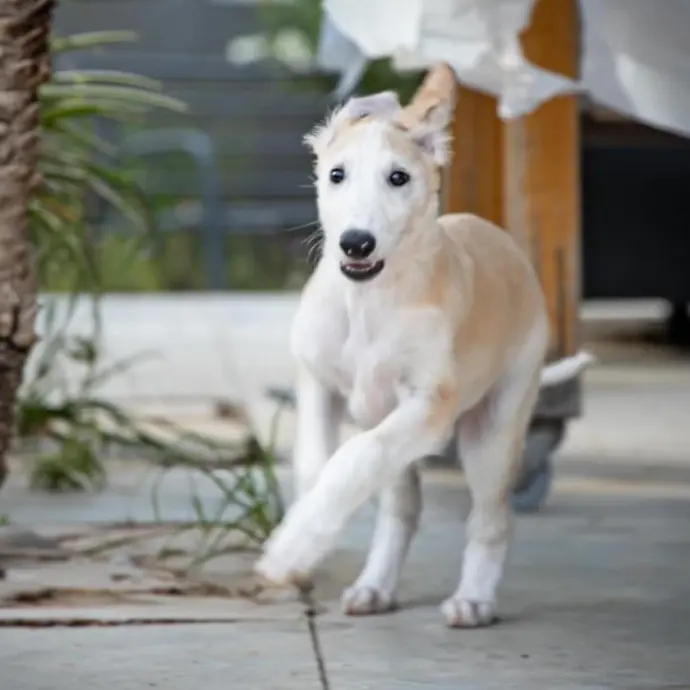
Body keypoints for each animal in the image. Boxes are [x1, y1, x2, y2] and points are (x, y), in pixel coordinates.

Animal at [255, 61, 588, 628]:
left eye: (399, 178)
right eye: (336, 174)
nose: (355, 244)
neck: (369, 301)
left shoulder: (430, 406)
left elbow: (355, 456)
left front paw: (291, 548)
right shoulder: (318, 384)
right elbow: (314, 464)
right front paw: (302, 537)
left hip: (492, 430)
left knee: (491, 518)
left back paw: (473, 600)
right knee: (401, 509)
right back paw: (374, 587)